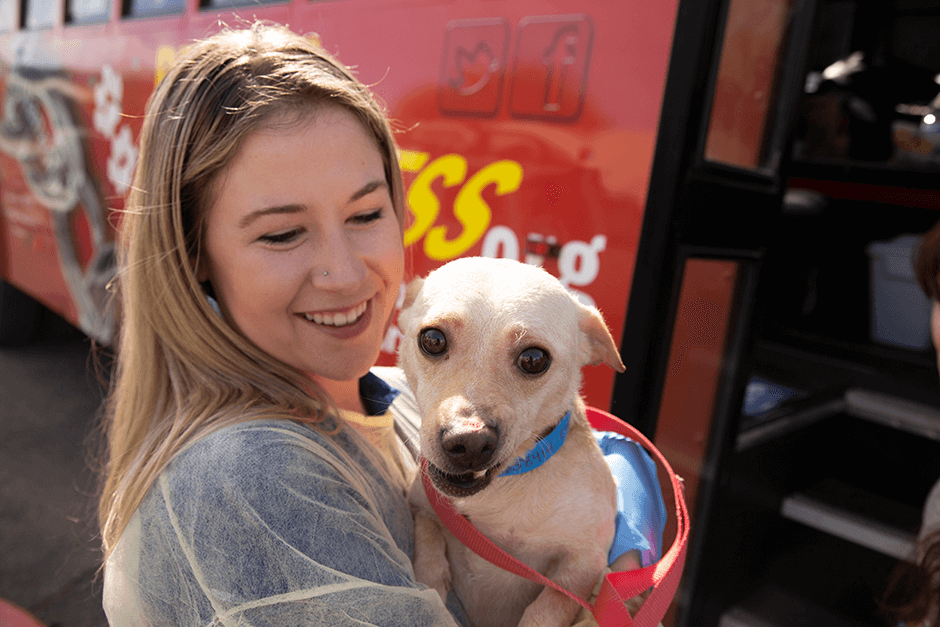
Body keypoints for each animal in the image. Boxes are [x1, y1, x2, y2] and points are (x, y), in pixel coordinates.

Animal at [398, 256, 628, 627]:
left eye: (534, 359)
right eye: (432, 340)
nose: (468, 442)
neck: (501, 494)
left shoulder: (584, 563)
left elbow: (547, 609)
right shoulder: (422, 505)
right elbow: (429, 539)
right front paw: (432, 585)